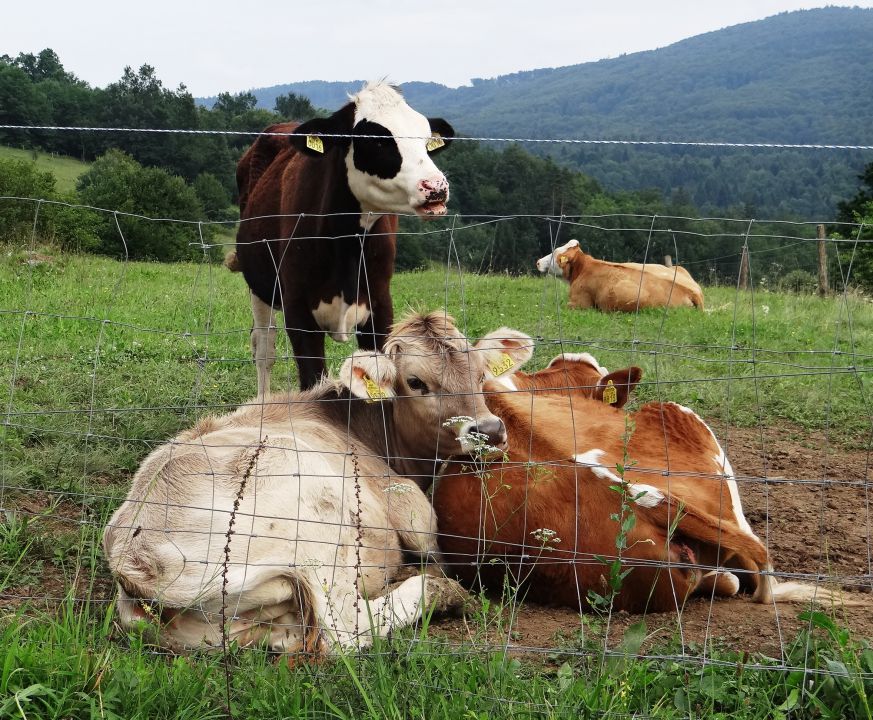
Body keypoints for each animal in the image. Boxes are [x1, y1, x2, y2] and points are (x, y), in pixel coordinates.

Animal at [104, 312, 510, 656]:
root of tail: (135, 558)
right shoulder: (409, 505)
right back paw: (442, 592)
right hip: (319, 527)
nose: (490, 431)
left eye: (481, 375)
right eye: (415, 382)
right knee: (344, 632)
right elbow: (434, 550)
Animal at [228, 82, 454, 396]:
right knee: (264, 347)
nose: (436, 187)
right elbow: (313, 383)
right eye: (376, 140)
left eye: (424, 139)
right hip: (258, 283)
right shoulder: (299, 314)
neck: (348, 244)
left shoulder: (380, 308)